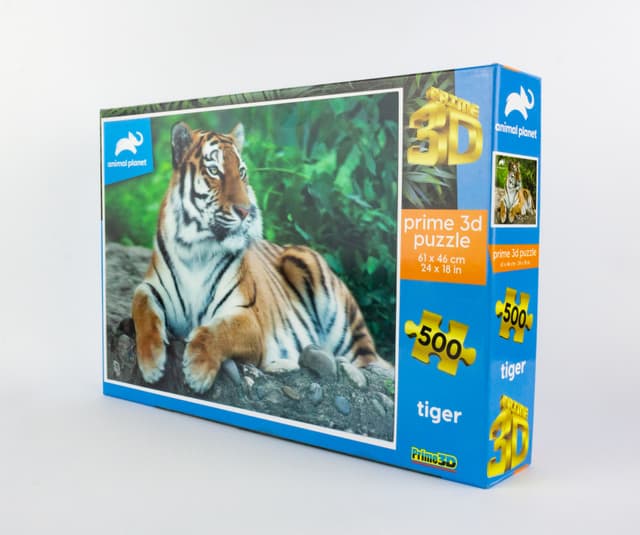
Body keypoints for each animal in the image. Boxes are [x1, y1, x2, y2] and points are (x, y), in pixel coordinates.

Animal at [132, 121, 391, 394]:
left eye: (242, 172)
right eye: (214, 171)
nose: (247, 211)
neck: (197, 249)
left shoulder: (247, 318)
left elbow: (218, 331)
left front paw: (197, 372)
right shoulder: (150, 287)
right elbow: (142, 305)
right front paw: (151, 364)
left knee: (370, 361)